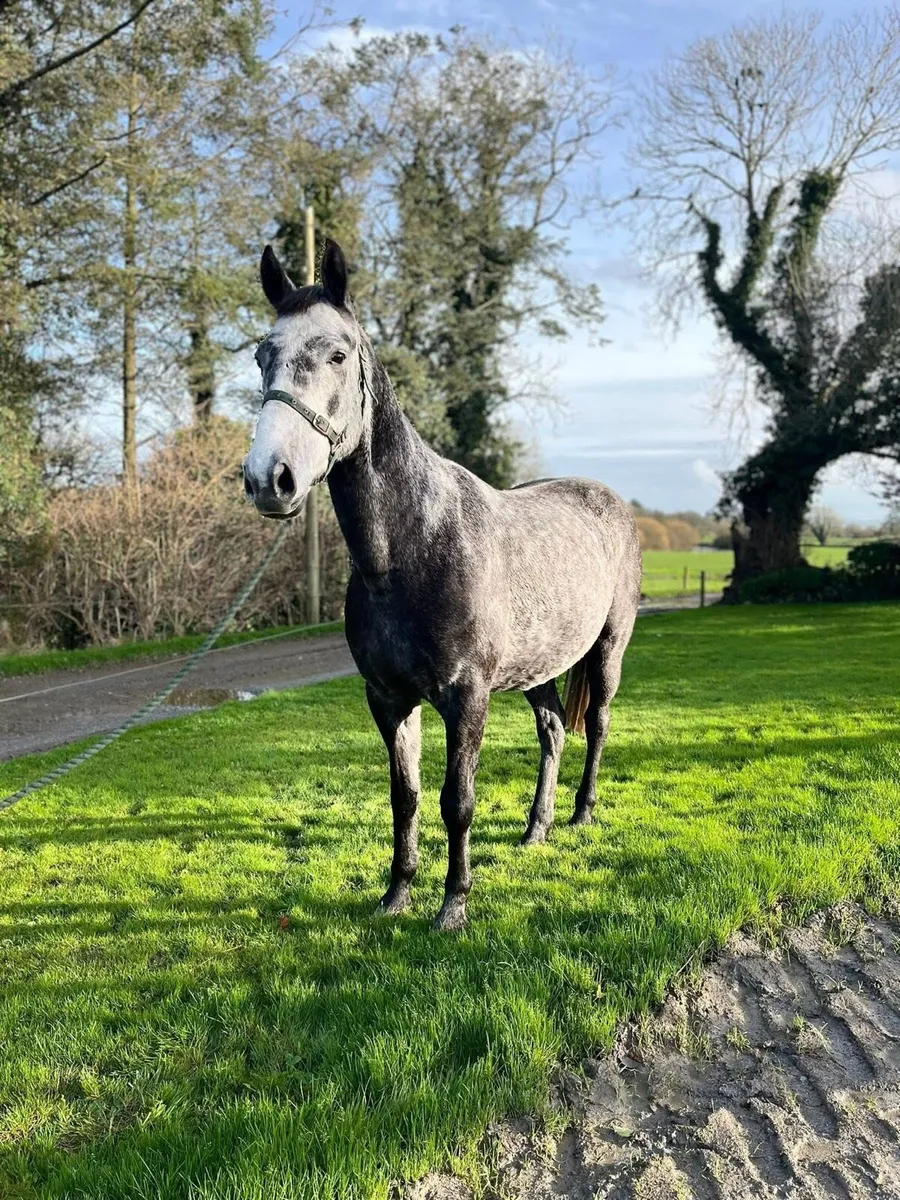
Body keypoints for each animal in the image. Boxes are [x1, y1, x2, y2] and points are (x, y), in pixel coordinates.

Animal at [243, 239, 641, 930]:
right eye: (263, 355)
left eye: (337, 355)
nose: (271, 478)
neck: (413, 547)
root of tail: (609, 500)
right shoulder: (387, 698)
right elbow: (405, 795)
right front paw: (395, 896)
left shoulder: (466, 697)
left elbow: (458, 799)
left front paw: (453, 904)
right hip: (536, 670)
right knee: (554, 731)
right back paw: (536, 830)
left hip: (606, 653)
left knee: (596, 726)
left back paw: (582, 814)